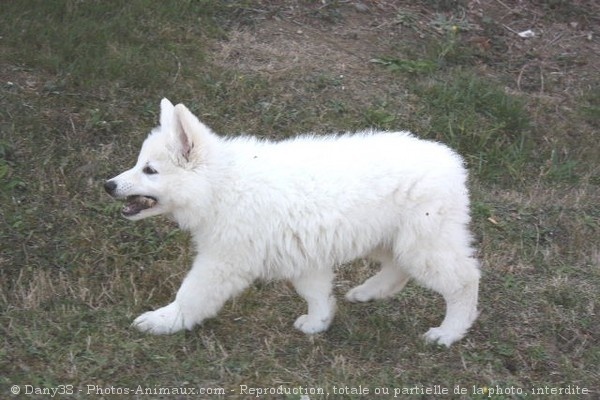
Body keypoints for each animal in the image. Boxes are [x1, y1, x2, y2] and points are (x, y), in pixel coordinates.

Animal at [105, 98, 480, 346]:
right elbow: (315, 292)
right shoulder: (304, 254)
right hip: (390, 238)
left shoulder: (224, 261)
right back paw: (367, 292)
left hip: (424, 242)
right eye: (139, 163)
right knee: (399, 268)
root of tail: (452, 161)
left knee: (464, 280)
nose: (109, 185)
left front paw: (164, 321)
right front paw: (319, 322)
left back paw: (448, 332)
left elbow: (192, 295)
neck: (222, 184)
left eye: (149, 170)